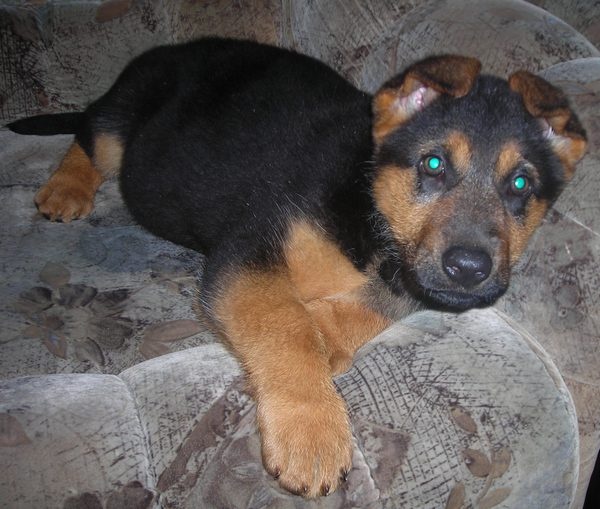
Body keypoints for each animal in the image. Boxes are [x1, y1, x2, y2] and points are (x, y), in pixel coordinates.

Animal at [7, 37, 587, 497]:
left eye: (521, 184)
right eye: (434, 164)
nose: (469, 268)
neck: (369, 203)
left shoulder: (408, 277)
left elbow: (368, 306)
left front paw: (327, 331)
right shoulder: (249, 251)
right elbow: (286, 322)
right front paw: (313, 430)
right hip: (125, 111)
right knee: (90, 135)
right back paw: (66, 188)